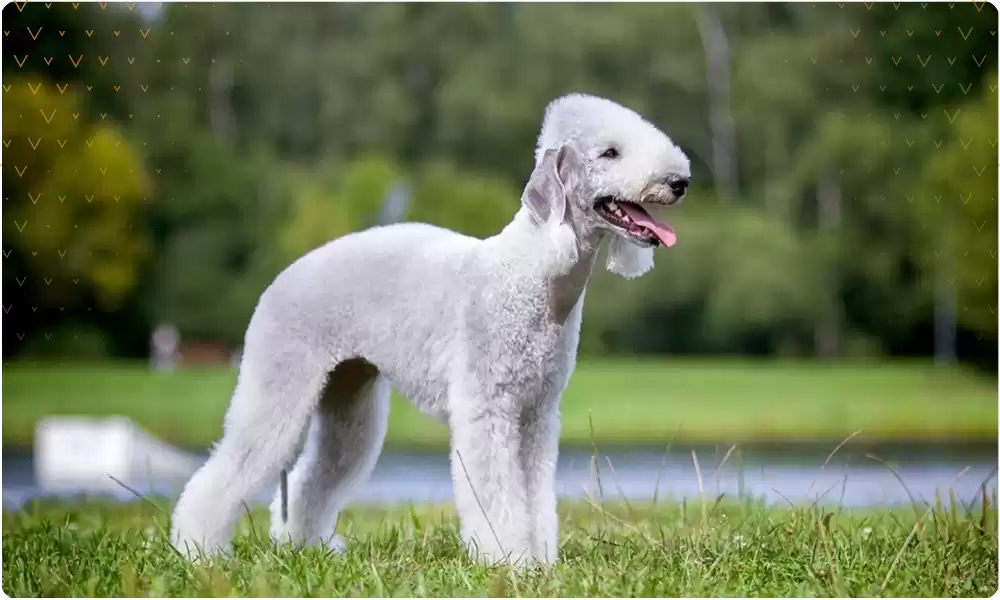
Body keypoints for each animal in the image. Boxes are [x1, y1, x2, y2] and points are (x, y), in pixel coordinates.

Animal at [170, 94, 688, 568]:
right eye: (610, 153)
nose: (680, 182)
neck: (533, 271)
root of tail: (281, 277)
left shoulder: (537, 414)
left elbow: (535, 494)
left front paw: (540, 562)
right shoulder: (488, 408)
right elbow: (496, 494)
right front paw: (509, 561)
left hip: (349, 396)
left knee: (314, 476)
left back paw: (306, 547)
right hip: (279, 379)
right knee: (229, 468)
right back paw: (197, 551)